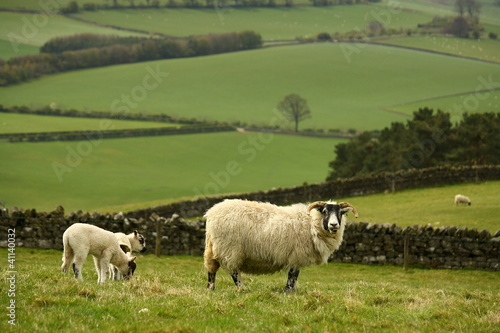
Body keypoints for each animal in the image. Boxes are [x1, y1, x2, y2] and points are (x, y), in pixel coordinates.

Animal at [201, 198, 358, 290]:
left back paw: (211, 288)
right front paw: (288, 291)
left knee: (211, 269)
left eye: (340, 213)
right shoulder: (296, 255)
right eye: (324, 211)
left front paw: (292, 291)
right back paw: (243, 289)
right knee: (234, 272)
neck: (311, 223)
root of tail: (211, 213)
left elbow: (294, 276)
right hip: (229, 249)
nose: (334, 225)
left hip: (212, 247)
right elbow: (292, 275)